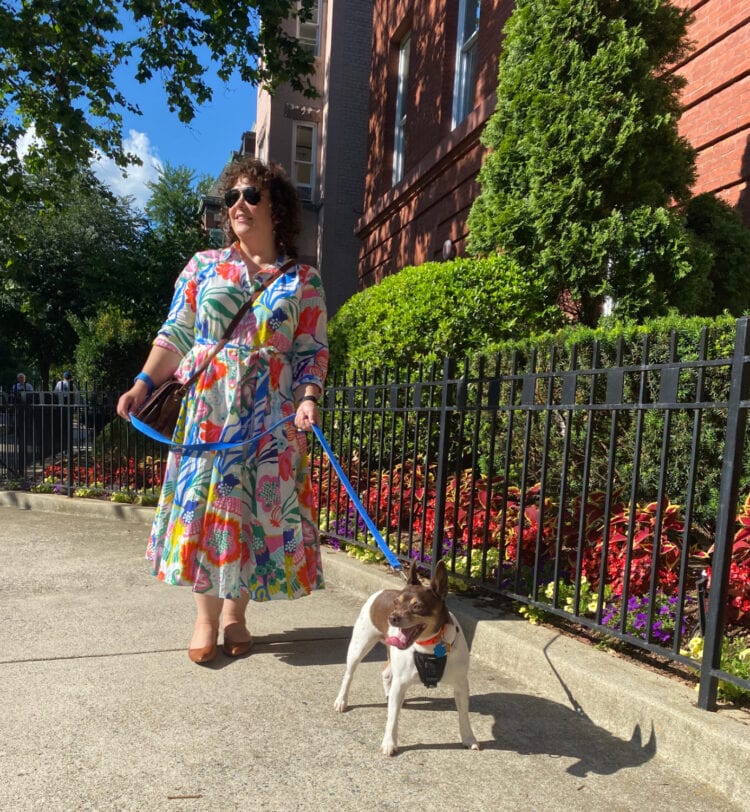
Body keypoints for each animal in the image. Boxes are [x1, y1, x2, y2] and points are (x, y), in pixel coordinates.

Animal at [334, 560, 482, 756]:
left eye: (417, 606)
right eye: (395, 603)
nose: (392, 617)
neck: (429, 645)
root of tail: (382, 591)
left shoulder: (460, 685)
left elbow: (464, 715)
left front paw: (468, 738)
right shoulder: (401, 683)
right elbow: (392, 718)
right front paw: (389, 742)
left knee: (386, 672)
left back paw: (387, 693)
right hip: (359, 647)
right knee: (349, 675)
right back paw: (341, 700)